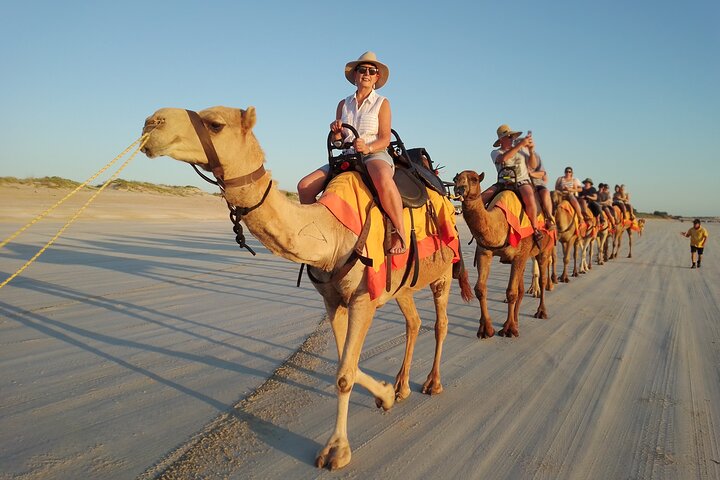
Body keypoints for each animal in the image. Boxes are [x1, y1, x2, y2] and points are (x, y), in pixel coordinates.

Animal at [141, 105, 476, 468]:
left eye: (215, 124)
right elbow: (347, 365)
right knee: (413, 322)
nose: (152, 121)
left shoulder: (362, 299)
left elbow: (344, 374)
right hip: (402, 286)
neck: (333, 231)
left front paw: (336, 450)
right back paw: (401, 388)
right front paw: (385, 395)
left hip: (442, 271)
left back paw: (432, 383)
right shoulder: (333, 301)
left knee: (441, 322)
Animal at [452, 171, 556, 340]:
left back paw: (541, 312)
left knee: (542, 279)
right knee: (521, 288)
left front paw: (509, 329)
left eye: (474, 179)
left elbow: (511, 292)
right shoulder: (484, 252)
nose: (459, 189)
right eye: (456, 179)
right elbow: (480, 289)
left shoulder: (520, 255)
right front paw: (486, 330)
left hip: (544, 249)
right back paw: (517, 320)